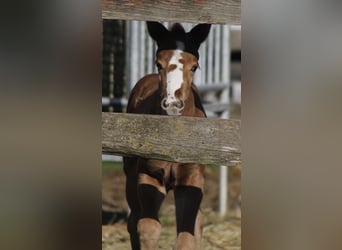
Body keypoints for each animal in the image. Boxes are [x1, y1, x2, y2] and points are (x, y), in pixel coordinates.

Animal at [124, 22, 211, 250]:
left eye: (194, 66)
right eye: (159, 64)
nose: (172, 104)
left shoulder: (190, 180)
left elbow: (186, 237)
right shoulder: (149, 175)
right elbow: (148, 227)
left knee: (198, 221)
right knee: (133, 220)